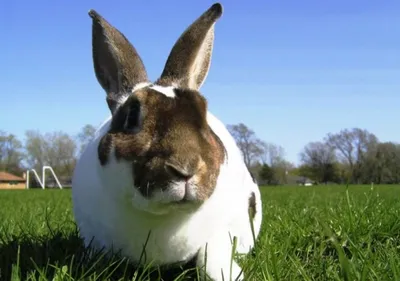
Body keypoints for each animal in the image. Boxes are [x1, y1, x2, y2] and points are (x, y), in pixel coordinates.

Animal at [71, 2, 262, 280]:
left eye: (203, 114)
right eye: (131, 116)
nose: (185, 169)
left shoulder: (225, 232)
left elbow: (208, 259)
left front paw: (229, 273)